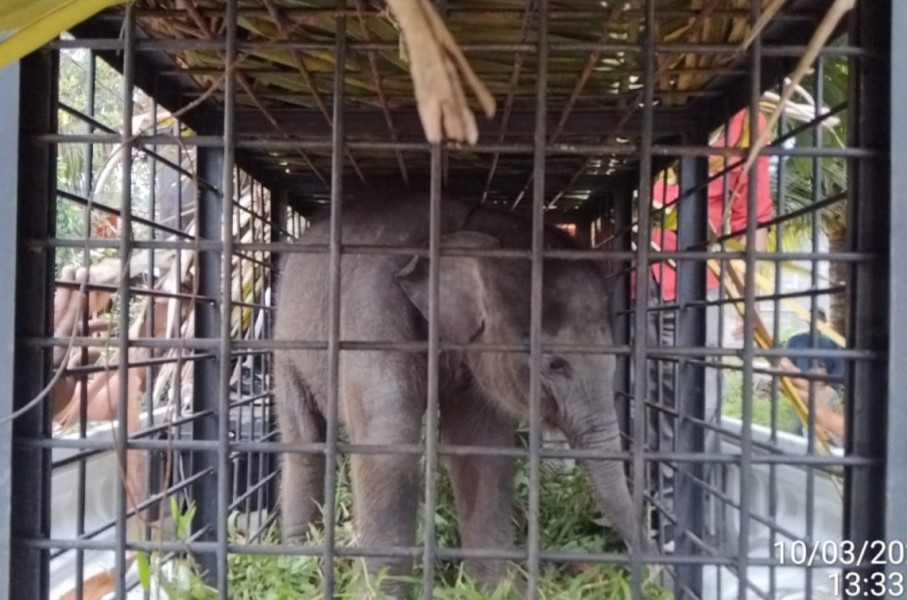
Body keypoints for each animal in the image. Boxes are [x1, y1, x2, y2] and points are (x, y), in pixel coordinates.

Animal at [274, 196, 648, 596]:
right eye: (554, 364)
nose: (652, 567)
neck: (469, 223)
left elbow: (480, 447)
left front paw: (497, 590)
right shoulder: (370, 311)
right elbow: (388, 445)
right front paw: (380, 594)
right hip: (286, 345)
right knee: (304, 441)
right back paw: (299, 561)